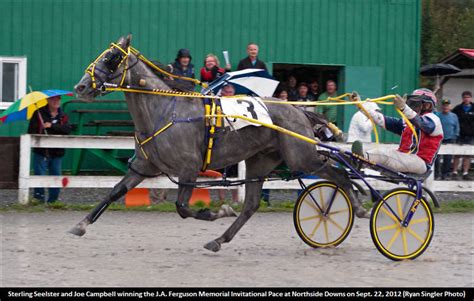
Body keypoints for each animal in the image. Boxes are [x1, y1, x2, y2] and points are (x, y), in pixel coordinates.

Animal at [71, 35, 366, 251]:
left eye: (110, 58)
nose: (80, 87)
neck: (166, 110)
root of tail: (299, 109)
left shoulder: (189, 168)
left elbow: (182, 208)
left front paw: (219, 211)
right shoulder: (144, 167)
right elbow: (114, 192)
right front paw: (80, 225)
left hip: (301, 156)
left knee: (340, 174)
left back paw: (358, 205)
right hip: (261, 161)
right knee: (251, 205)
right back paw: (219, 240)